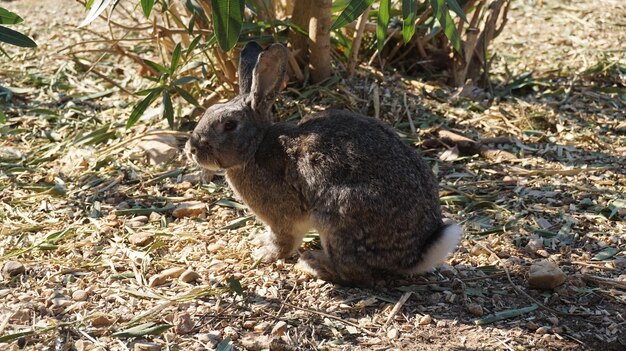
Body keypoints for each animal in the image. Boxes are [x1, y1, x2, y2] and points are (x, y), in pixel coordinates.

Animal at [184, 42, 458, 288]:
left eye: (229, 125)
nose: (192, 149)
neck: (256, 145)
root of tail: (415, 254)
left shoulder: (282, 217)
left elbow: (283, 241)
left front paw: (264, 254)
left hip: (339, 216)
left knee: (355, 274)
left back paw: (312, 263)